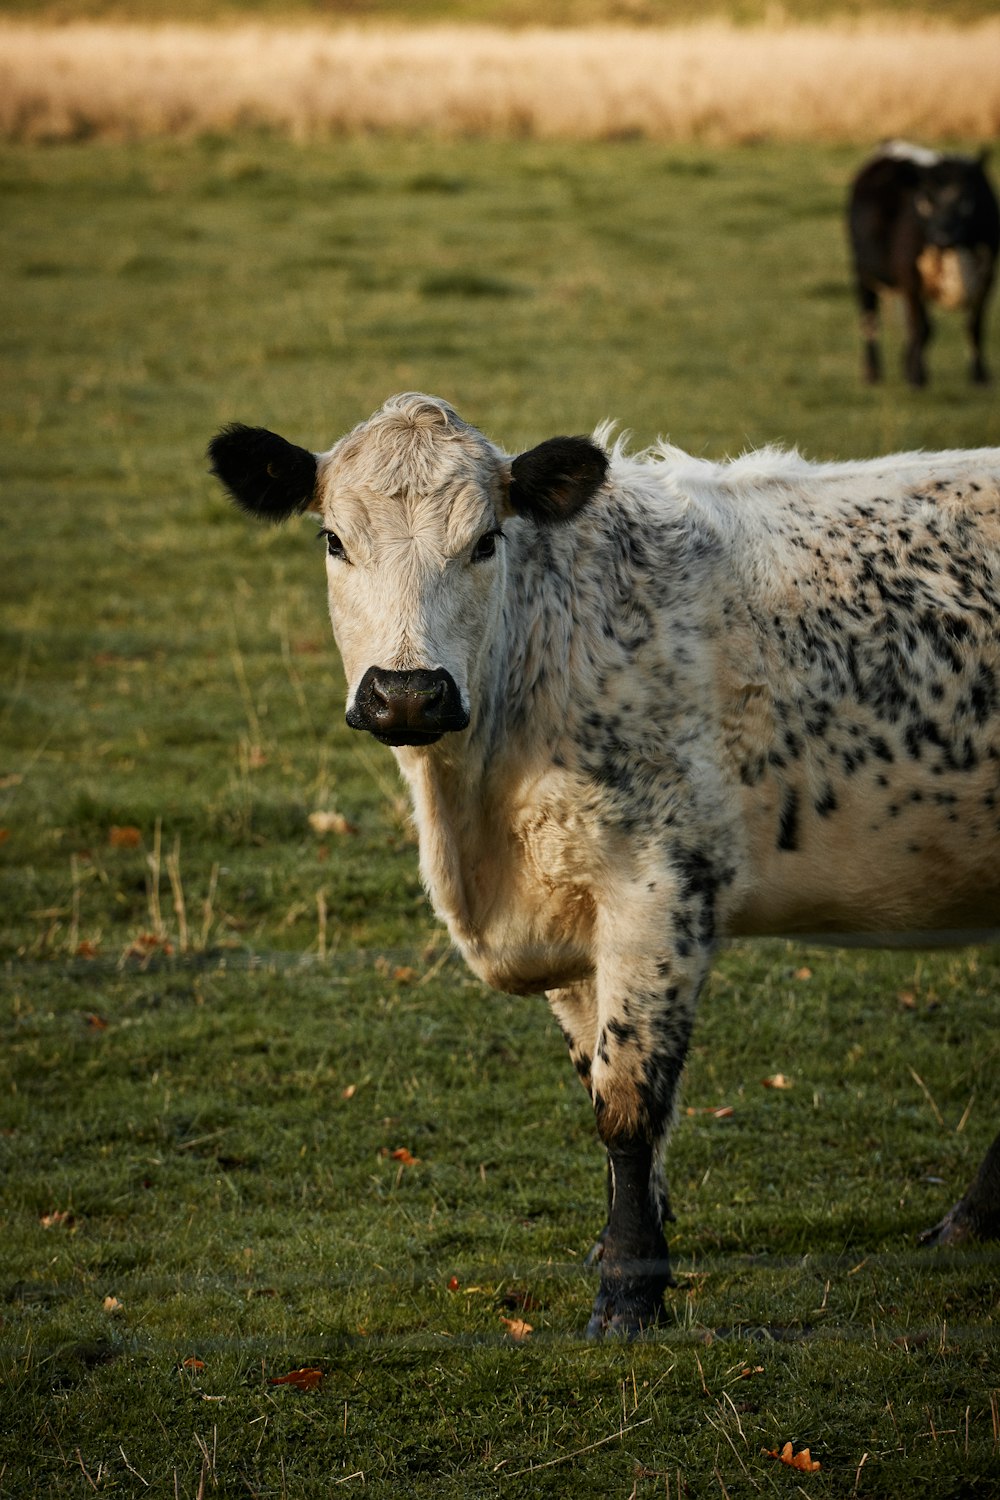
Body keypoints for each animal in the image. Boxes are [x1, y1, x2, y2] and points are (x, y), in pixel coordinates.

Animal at [209, 390, 1000, 1338]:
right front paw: (632, 1241)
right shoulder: (570, 919)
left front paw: (627, 1291)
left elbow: (627, 1103)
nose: (406, 694)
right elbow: (597, 1078)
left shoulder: (657, 892)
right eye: (334, 539)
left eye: (486, 541)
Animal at [845, 141, 1000, 387]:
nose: (942, 236)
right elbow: (921, 327)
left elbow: (974, 326)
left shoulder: (987, 277)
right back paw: (873, 372)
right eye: (925, 199)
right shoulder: (909, 276)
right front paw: (917, 376)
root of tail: (891, 144)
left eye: (965, 197)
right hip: (864, 273)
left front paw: (980, 376)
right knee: (870, 320)